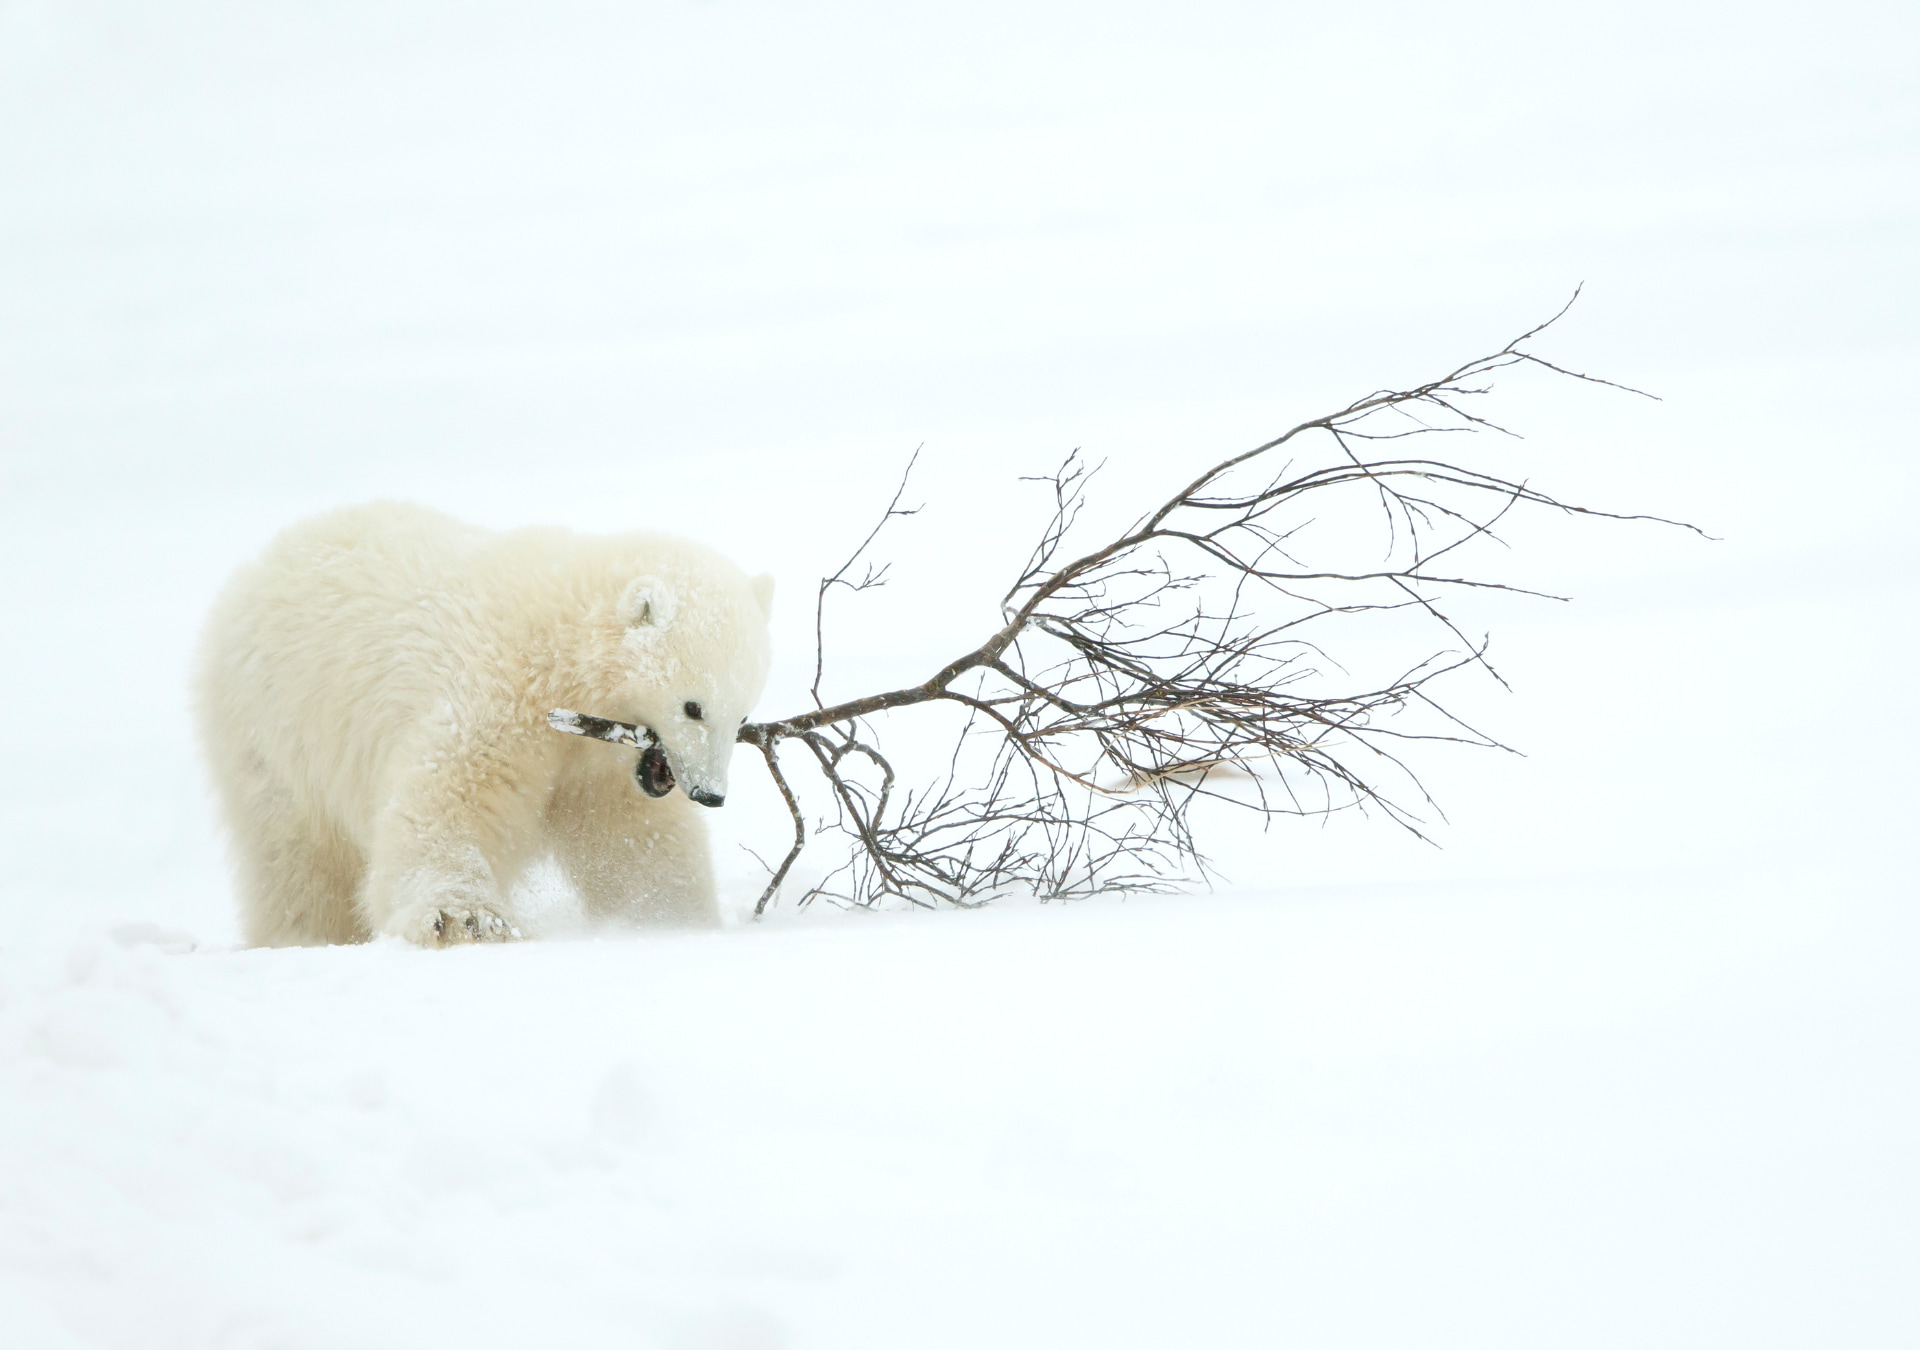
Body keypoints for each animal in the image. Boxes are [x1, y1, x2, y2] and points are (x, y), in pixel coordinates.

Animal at [193, 501, 773, 947]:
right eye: (693, 707)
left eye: (743, 713)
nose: (710, 794)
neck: (559, 646)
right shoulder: (493, 695)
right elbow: (448, 800)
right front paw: (465, 919)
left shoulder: (599, 764)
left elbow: (636, 842)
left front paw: (674, 921)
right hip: (275, 725)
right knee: (296, 856)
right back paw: (306, 936)